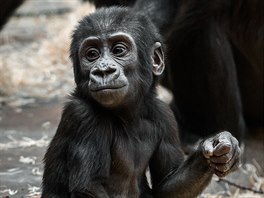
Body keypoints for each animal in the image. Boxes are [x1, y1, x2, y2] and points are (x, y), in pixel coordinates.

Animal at [41, 6, 241, 198]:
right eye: (92, 54)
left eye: (118, 50)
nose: (103, 71)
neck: (127, 114)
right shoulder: (83, 116)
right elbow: (89, 188)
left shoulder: (164, 114)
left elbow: (168, 185)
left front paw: (220, 148)